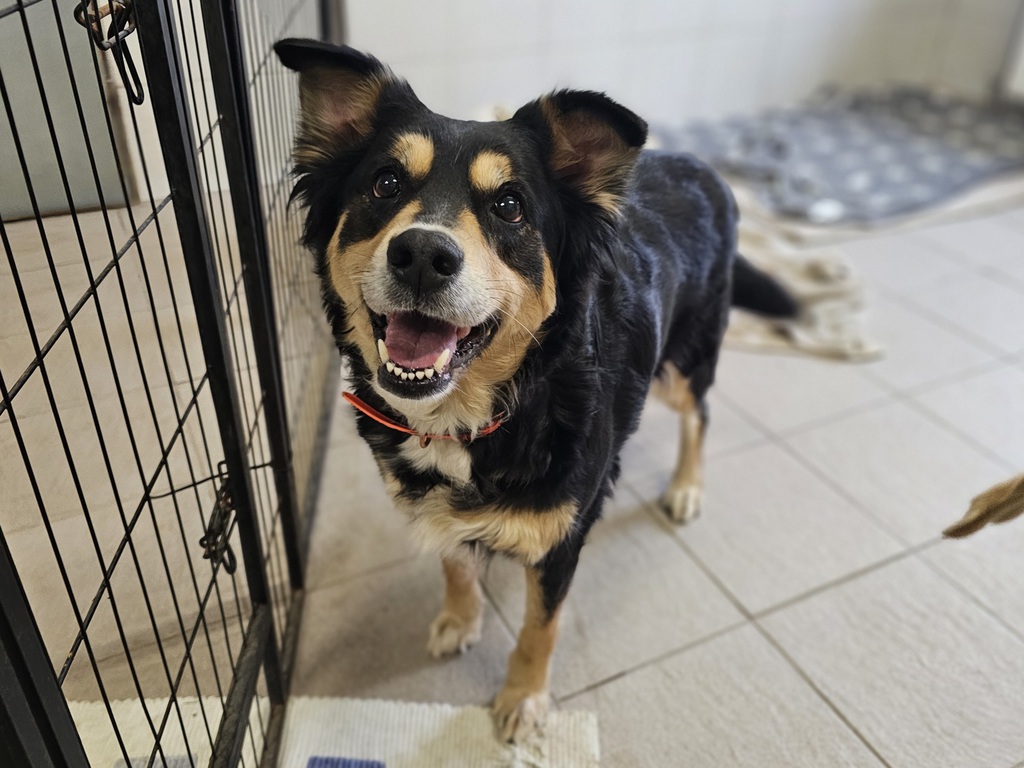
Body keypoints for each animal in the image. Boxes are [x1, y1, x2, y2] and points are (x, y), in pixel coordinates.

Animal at [274, 38, 797, 742]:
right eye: (385, 184)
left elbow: (539, 628)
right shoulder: (437, 507)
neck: (483, 412)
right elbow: (455, 561)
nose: (421, 255)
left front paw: (522, 699)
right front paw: (460, 618)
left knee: (702, 413)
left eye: (509, 207)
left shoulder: (560, 538)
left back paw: (687, 485)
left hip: (684, 363)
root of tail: (702, 167)